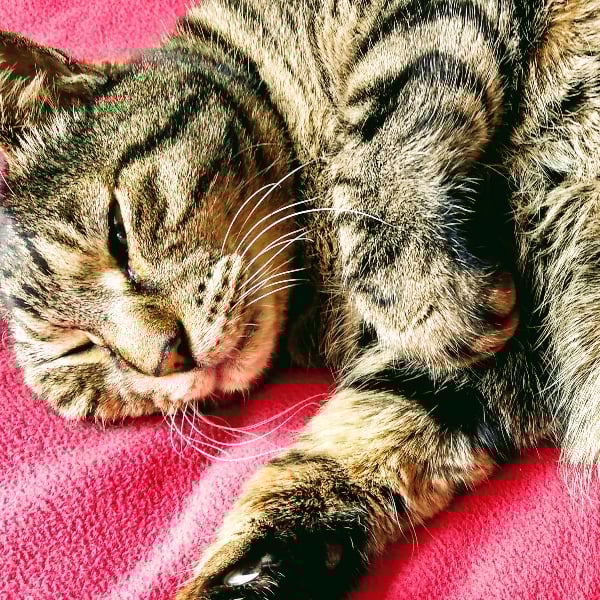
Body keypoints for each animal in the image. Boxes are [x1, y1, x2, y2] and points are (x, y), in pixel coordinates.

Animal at [1, 0, 600, 598]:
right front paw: (243, 574)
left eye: (118, 235)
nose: (168, 355)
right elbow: (331, 463)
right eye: (81, 350)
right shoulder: (466, 376)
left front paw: (431, 291)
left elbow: (379, 131)